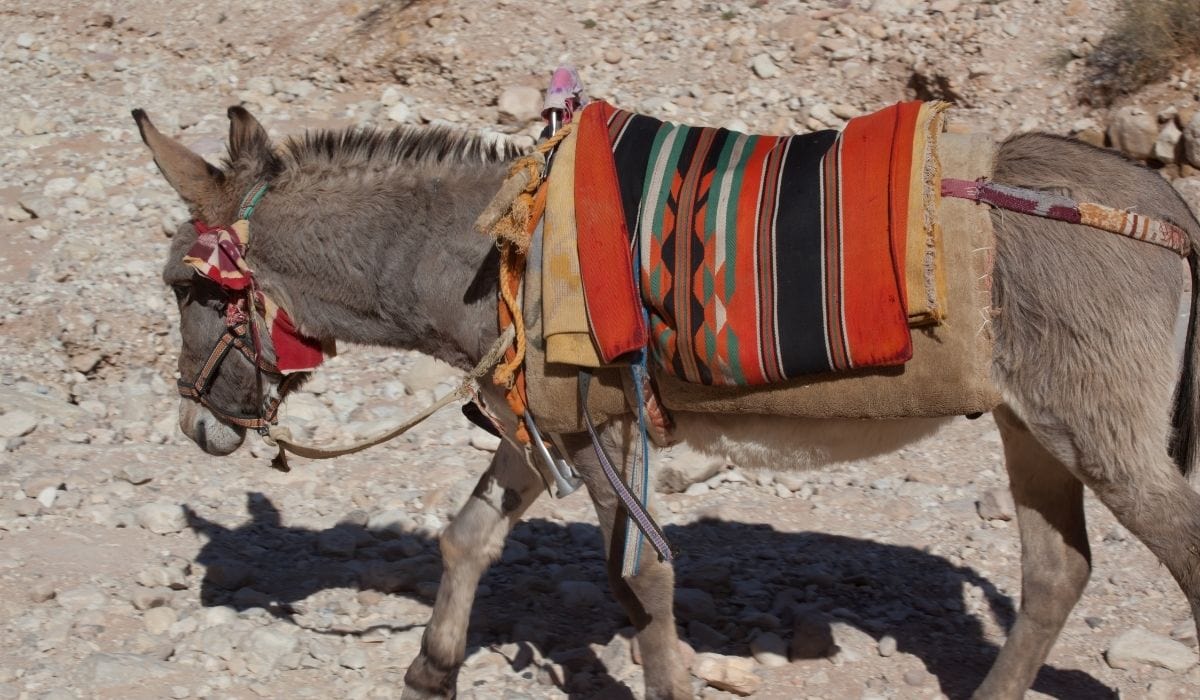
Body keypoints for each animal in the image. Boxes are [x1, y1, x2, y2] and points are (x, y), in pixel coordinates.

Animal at [135, 104, 1200, 700]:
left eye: (189, 288)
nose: (195, 425)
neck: (489, 249)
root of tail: (1161, 204)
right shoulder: (540, 422)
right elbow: (468, 537)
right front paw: (431, 671)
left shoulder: (604, 431)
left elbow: (641, 582)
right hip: (1036, 428)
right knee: (1057, 573)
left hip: (1104, 435)